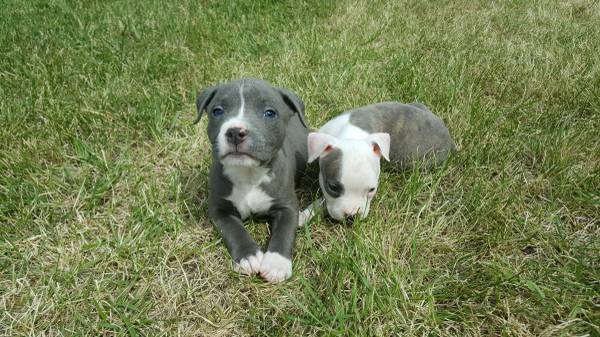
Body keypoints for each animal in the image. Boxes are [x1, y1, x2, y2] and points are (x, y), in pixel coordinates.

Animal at [196, 78, 310, 280]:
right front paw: (248, 256)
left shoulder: (288, 205)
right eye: (217, 111)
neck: (248, 174)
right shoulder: (218, 209)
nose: (235, 132)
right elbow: (234, 230)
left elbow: (285, 231)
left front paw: (277, 263)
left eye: (270, 113)